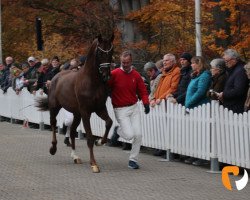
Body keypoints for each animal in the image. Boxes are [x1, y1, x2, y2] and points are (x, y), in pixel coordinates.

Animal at [35, 34, 114, 172]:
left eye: (111, 51)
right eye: (100, 52)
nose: (106, 75)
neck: (91, 81)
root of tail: (55, 77)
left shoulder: (100, 108)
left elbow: (109, 122)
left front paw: (100, 142)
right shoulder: (86, 112)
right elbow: (89, 137)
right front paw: (94, 164)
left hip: (77, 114)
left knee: (71, 131)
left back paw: (75, 156)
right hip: (55, 108)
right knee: (54, 124)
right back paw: (53, 149)